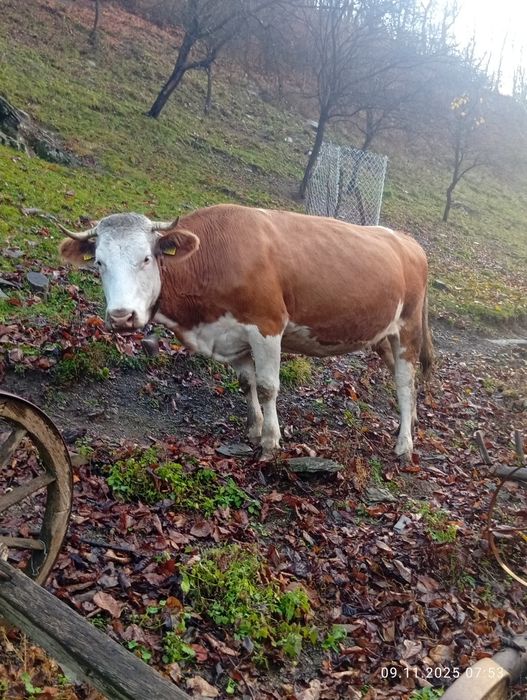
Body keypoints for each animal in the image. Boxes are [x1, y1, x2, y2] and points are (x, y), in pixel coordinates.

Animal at [59, 204, 433, 461]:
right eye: (99, 262)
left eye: (147, 258)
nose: (122, 317)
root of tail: (406, 240)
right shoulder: (231, 336)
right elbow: (246, 382)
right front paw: (254, 429)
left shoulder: (267, 325)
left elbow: (267, 387)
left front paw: (270, 441)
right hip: (382, 334)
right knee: (408, 379)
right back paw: (412, 420)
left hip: (408, 327)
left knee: (404, 381)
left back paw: (404, 444)